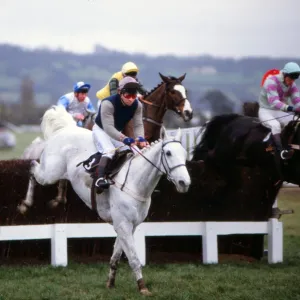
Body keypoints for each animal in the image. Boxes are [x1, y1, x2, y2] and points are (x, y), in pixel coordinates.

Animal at [27, 105, 190, 296]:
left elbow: (116, 256)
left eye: (185, 153)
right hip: (48, 174)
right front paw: (142, 287)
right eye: (168, 153)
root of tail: (64, 129)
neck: (135, 182)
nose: (184, 183)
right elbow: (134, 259)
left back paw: (56, 200)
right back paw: (25, 203)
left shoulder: (128, 225)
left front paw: (110, 283)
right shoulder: (123, 225)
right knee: (32, 167)